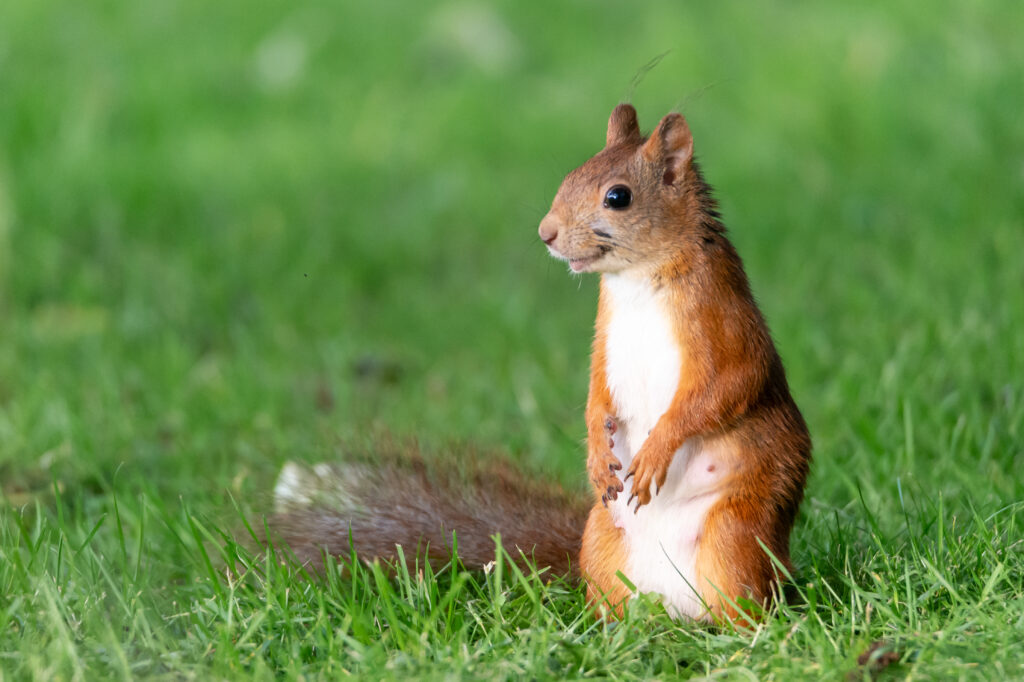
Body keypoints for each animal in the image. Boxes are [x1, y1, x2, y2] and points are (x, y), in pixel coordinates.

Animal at [268, 103, 811, 618]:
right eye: (570, 175)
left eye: (618, 197)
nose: (546, 232)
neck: (638, 278)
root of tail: (677, 607)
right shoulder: (604, 336)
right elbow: (596, 393)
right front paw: (596, 454)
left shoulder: (724, 321)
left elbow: (728, 385)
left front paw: (657, 449)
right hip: (601, 541)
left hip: (735, 538)